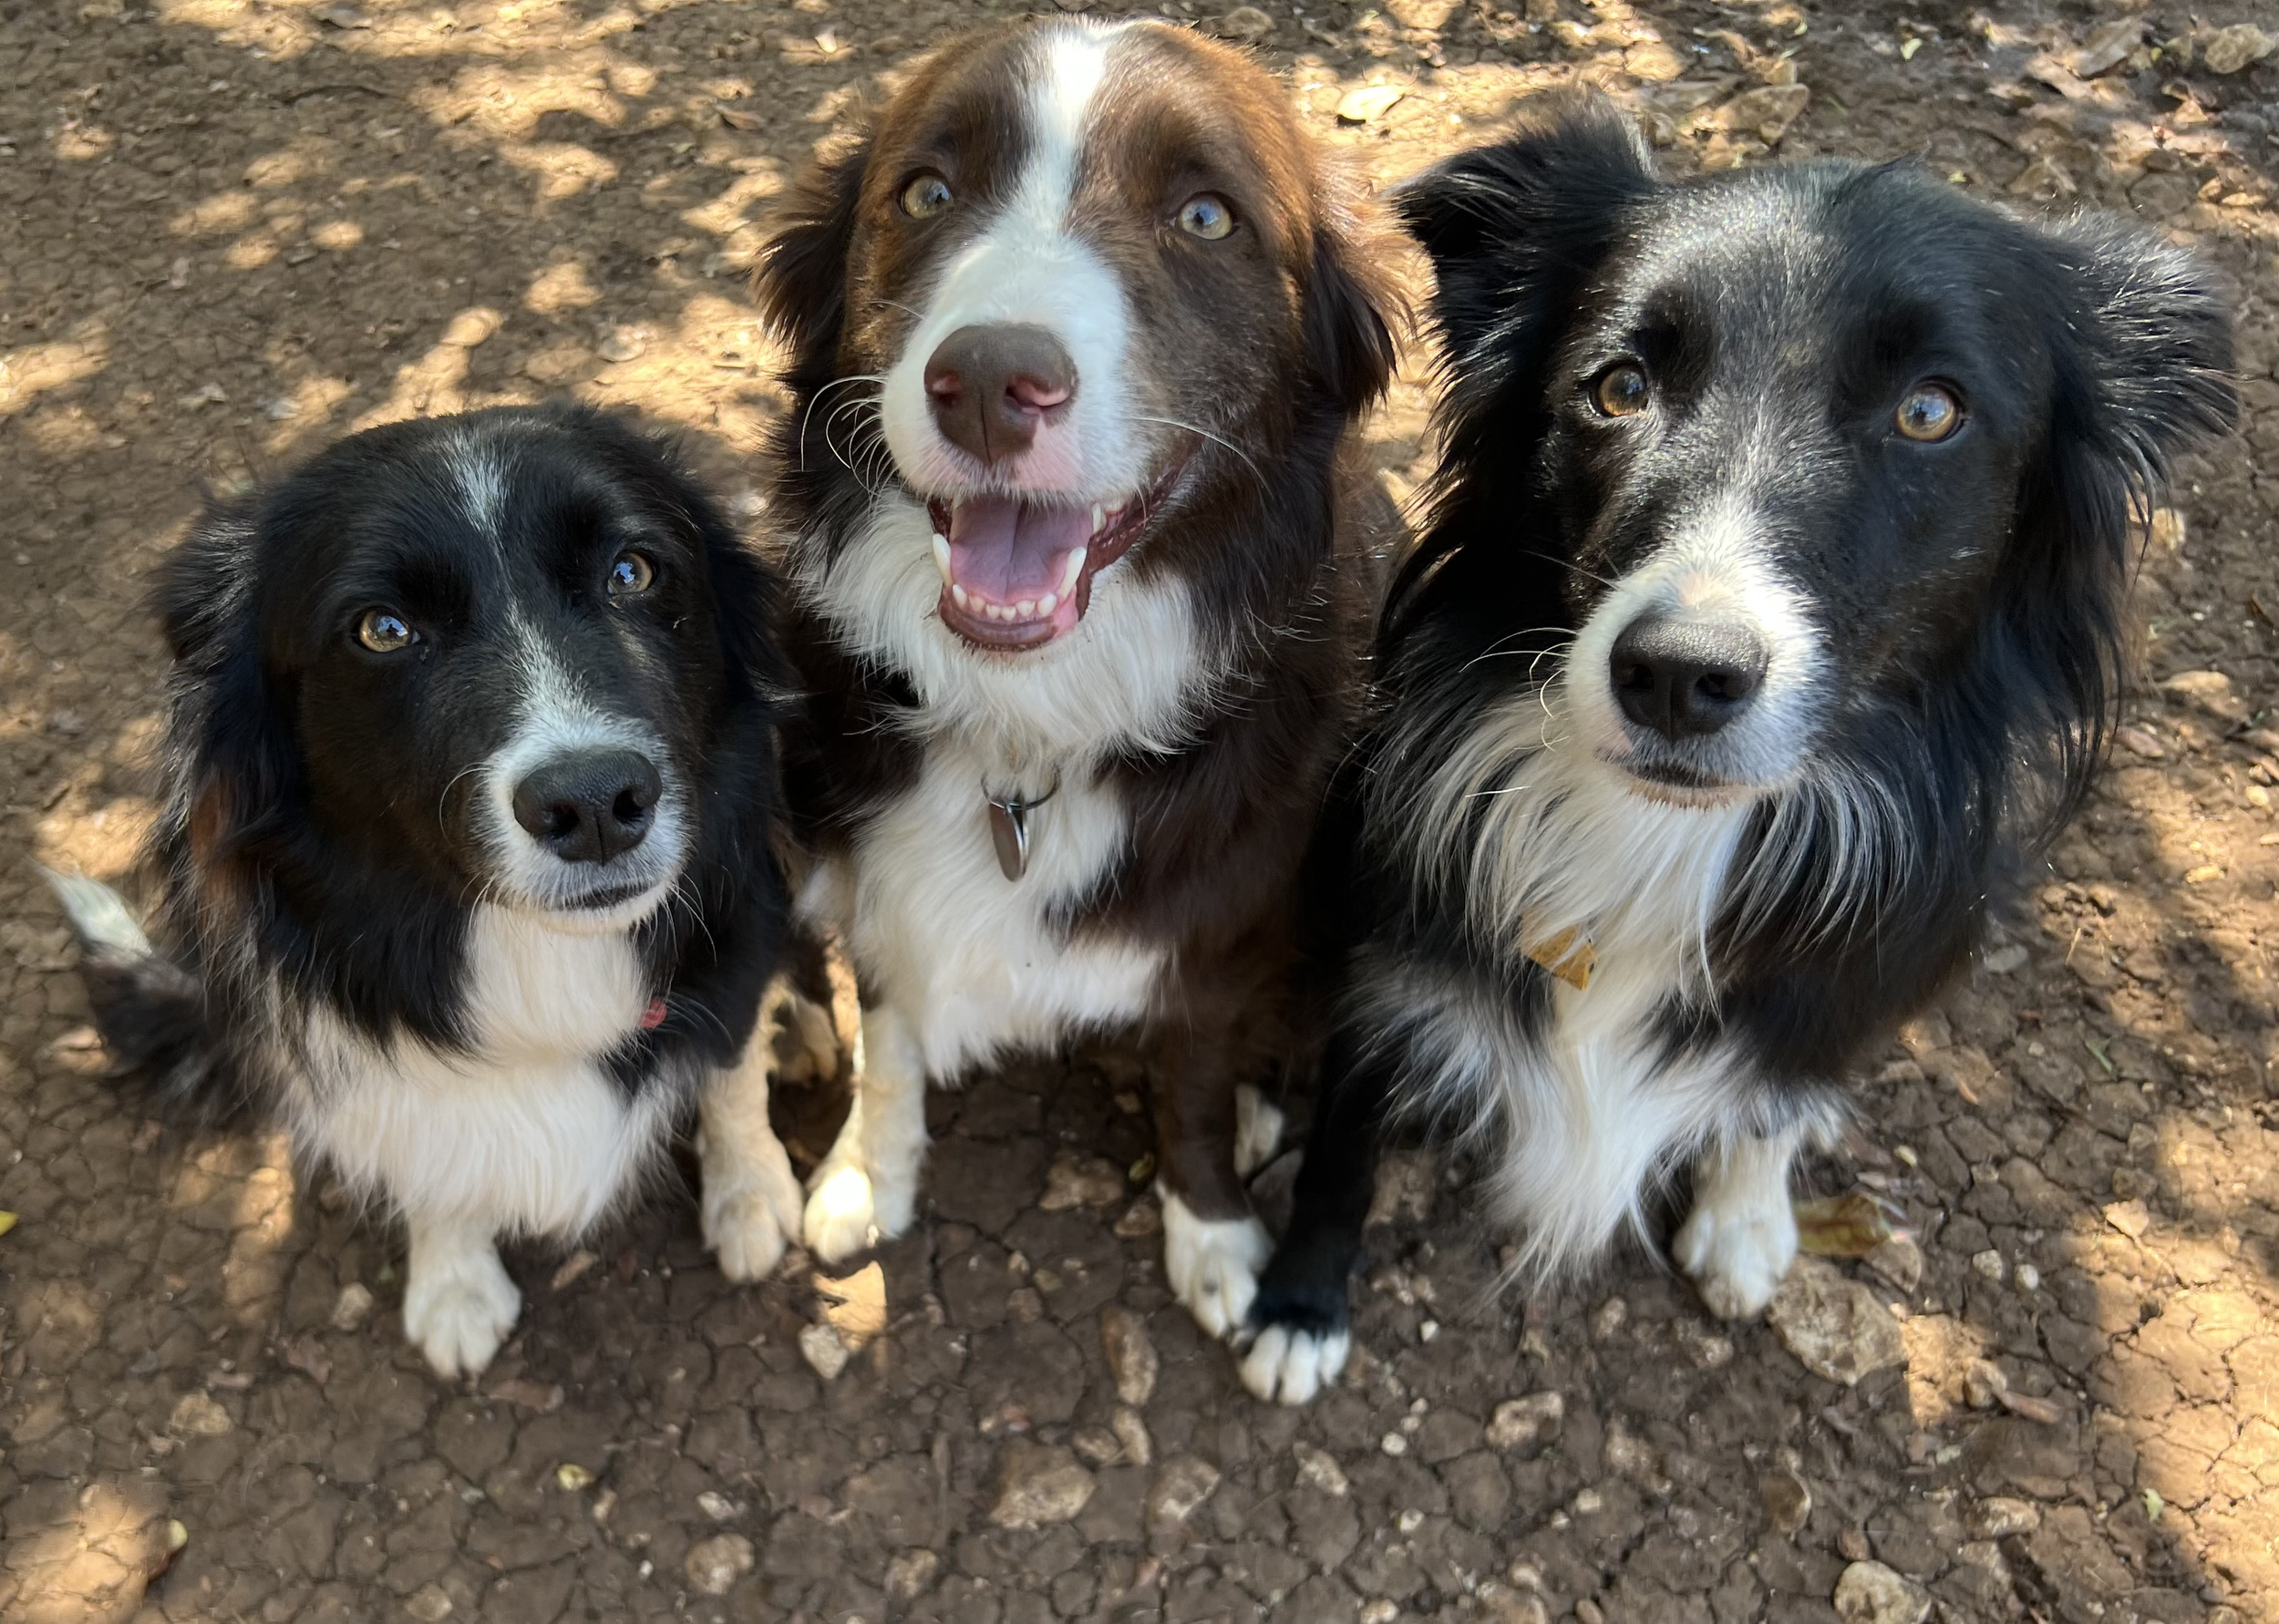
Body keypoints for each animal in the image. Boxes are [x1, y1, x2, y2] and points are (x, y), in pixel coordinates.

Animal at [48, 405, 807, 1366]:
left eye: (632, 571)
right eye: (383, 629)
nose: (597, 803)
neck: (537, 951)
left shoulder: (744, 922)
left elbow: (731, 1069)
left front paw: (752, 1192)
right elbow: (421, 1141)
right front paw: (453, 1280)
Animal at [1240, 95, 2233, 1403]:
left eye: (1930, 410)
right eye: (1617, 387)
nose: (1676, 674)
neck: (1655, 836)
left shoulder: (1858, 966)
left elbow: (1771, 1091)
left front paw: (1746, 1215)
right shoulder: (1388, 941)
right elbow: (1347, 1134)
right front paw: (1299, 1303)